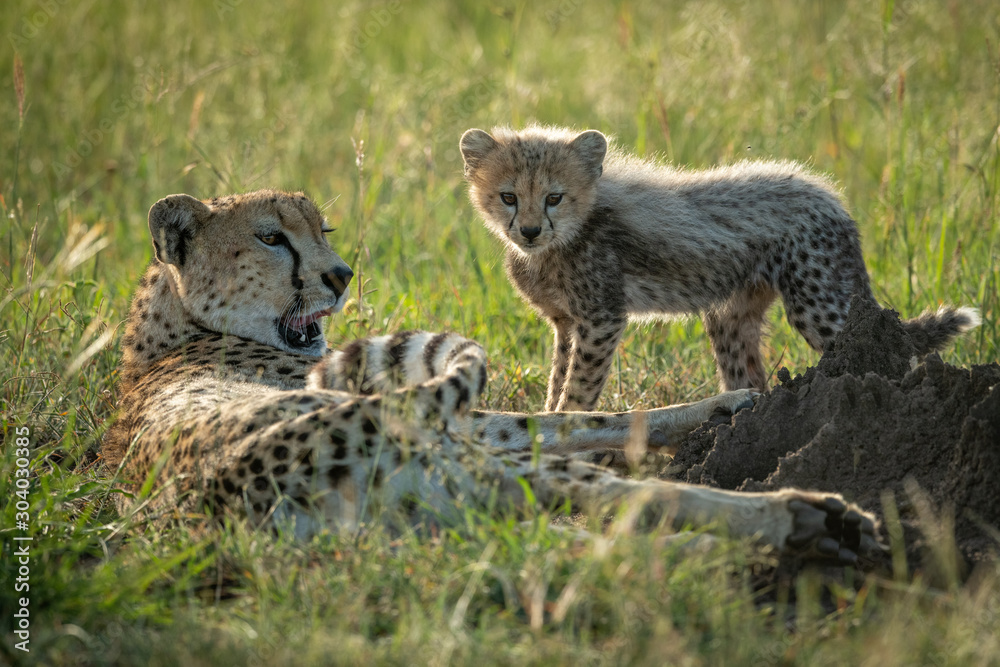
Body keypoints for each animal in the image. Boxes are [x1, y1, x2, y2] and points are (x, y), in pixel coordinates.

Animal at [102, 188, 882, 564]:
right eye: (270, 237)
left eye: (323, 229)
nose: (341, 274)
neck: (174, 329)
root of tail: (221, 480)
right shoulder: (467, 423)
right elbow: (569, 418)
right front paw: (728, 404)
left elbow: (570, 420)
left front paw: (727, 408)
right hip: (459, 464)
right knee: (631, 498)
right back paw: (801, 517)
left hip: (441, 508)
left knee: (569, 541)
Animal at [460, 125, 980, 412]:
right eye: (508, 196)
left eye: (554, 197)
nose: (529, 231)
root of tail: (828, 195)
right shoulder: (567, 323)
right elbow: (557, 378)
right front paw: (544, 421)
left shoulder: (601, 318)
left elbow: (579, 387)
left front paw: (566, 427)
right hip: (730, 317)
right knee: (750, 379)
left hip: (821, 308)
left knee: (892, 350)